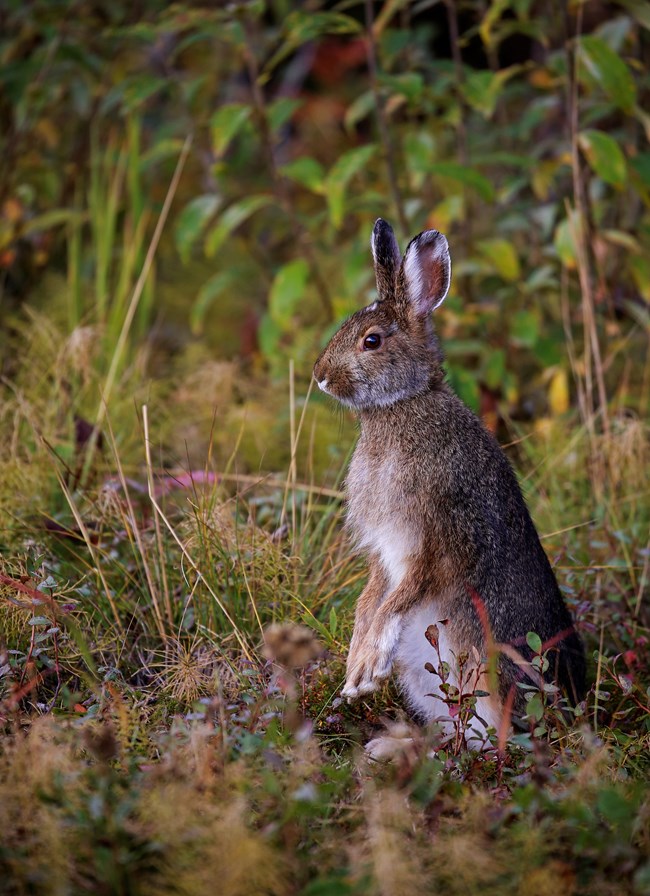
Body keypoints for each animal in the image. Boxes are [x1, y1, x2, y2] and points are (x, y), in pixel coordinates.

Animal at [313, 218, 586, 747]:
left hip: (487, 674)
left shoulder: (434, 538)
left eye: (371, 341)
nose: (319, 376)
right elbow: (369, 600)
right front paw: (356, 669)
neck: (403, 405)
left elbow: (398, 600)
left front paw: (367, 666)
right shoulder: (385, 552)